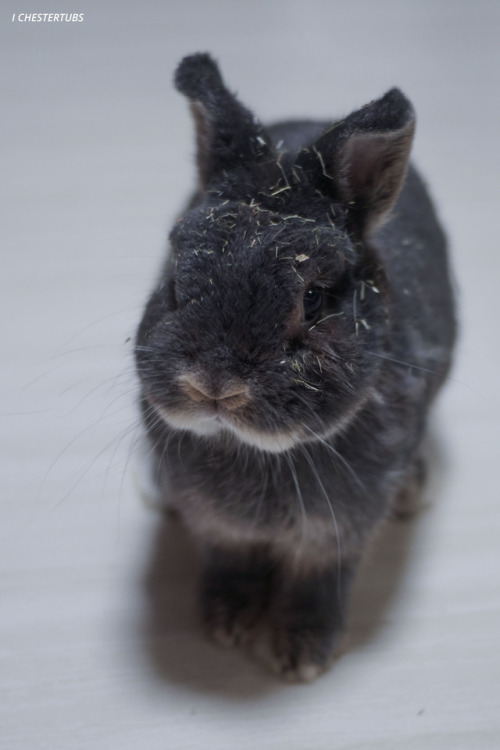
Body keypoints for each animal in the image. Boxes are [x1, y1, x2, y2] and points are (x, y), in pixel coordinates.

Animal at [134, 53, 458, 684]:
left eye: (312, 299)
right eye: (175, 277)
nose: (214, 386)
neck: (257, 454)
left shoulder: (336, 536)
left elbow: (318, 584)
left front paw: (301, 652)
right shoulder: (221, 529)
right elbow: (230, 562)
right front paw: (225, 621)